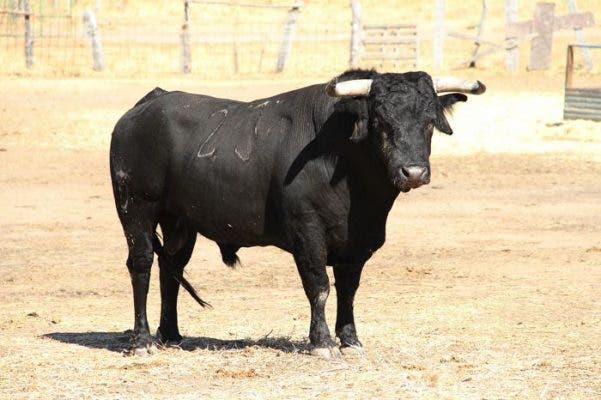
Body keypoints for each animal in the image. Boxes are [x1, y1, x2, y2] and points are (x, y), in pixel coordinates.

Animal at [109, 69, 482, 356]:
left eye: (430, 122)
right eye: (379, 121)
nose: (413, 172)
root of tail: (148, 104)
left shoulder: (357, 243)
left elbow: (348, 289)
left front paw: (350, 340)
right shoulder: (308, 232)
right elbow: (319, 286)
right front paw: (322, 343)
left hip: (179, 221)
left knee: (171, 267)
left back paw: (170, 335)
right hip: (137, 209)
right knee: (141, 265)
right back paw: (142, 341)